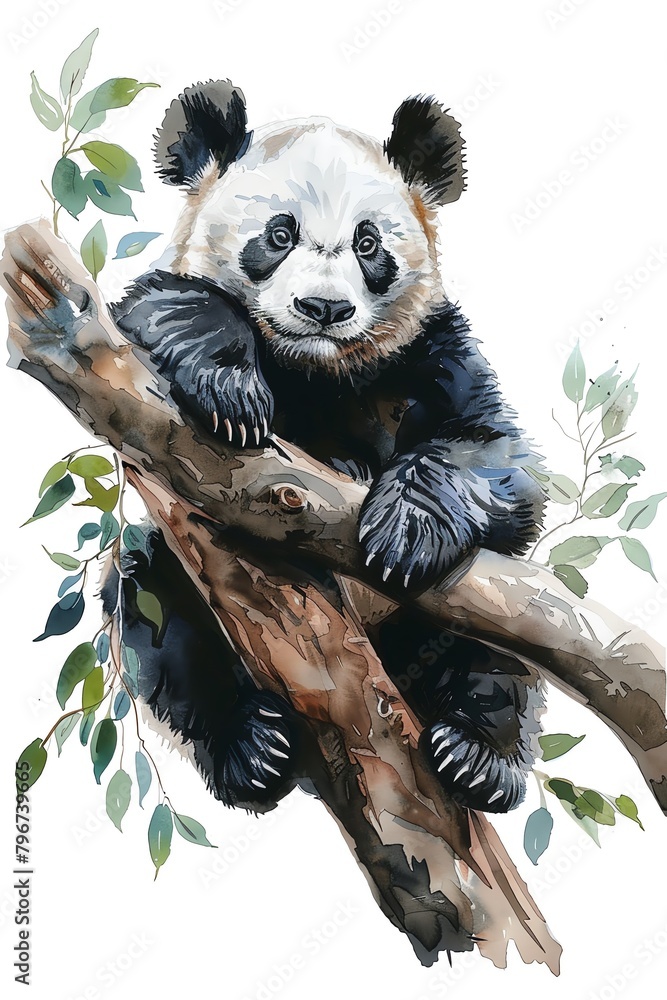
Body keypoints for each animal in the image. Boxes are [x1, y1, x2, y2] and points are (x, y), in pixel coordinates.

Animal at [107, 79, 546, 816]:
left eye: (368, 243)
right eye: (279, 235)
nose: (324, 309)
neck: (313, 367)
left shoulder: (432, 349)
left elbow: (496, 457)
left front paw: (405, 525)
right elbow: (162, 310)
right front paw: (232, 392)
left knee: (505, 659)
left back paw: (477, 755)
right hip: (176, 583)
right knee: (155, 619)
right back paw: (252, 748)